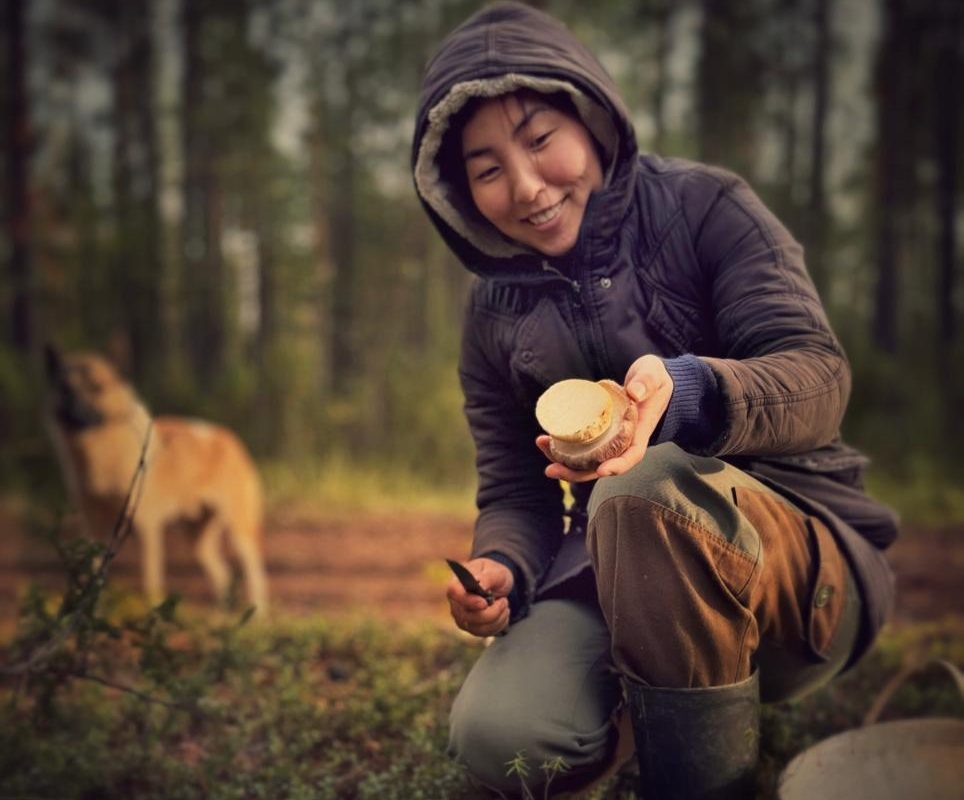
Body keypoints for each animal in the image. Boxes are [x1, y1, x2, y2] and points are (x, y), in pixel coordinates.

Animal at [44, 346, 270, 616]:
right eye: (65, 389)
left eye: (97, 388)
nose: (72, 412)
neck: (101, 457)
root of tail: (229, 436)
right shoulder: (93, 528)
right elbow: (94, 577)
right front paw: (89, 612)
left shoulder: (147, 528)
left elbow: (149, 582)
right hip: (197, 541)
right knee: (223, 573)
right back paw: (222, 614)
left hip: (238, 531)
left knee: (254, 571)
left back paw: (257, 614)